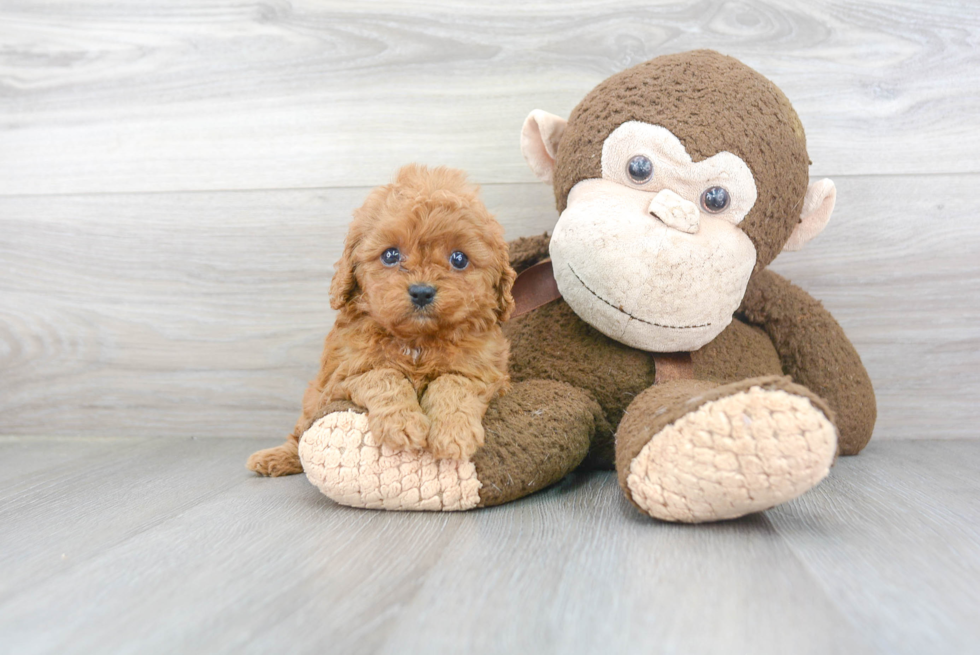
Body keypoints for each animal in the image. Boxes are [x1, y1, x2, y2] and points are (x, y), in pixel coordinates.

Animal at [245, 164, 516, 476]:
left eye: (459, 259)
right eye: (390, 255)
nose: (421, 292)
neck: (417, 341)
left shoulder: (485, 374)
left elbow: (452, 384)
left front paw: (453, 433)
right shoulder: (341, 378)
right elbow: (384, 375)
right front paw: (402, 424)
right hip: (313, 398)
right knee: (300, 433)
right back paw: (275, 458)